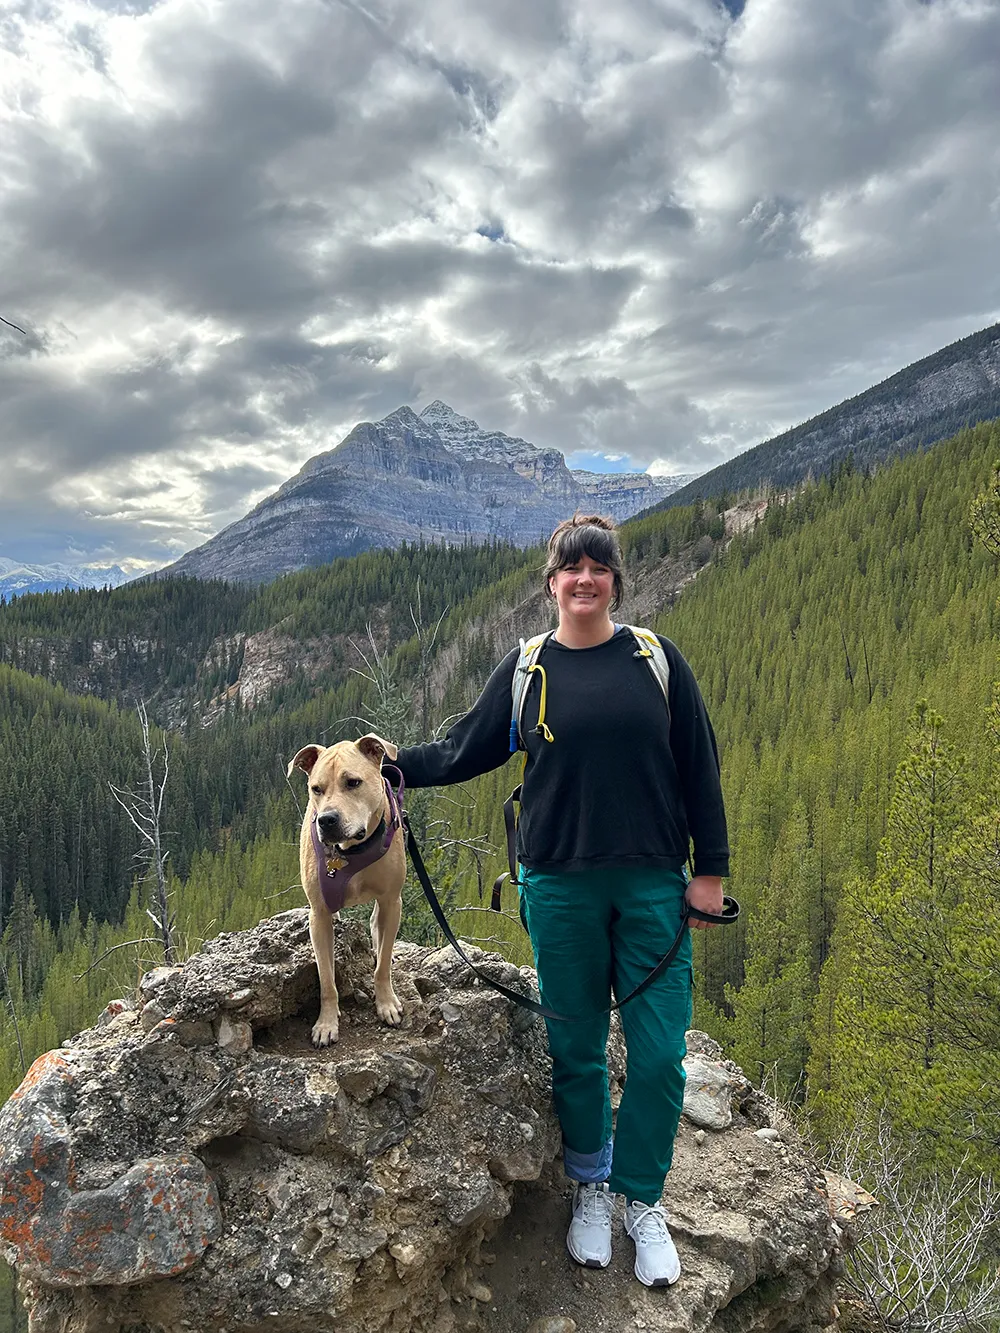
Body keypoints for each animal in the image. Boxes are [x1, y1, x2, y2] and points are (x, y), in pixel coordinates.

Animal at [285, 735, 402, 1045]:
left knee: (377, 928)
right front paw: (326, 1023)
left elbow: (382, 966)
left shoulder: (391, 901)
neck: (351, 851)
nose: (326, 819)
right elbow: (326, 978)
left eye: (353, 782)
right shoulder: (319, 915)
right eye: (316, 789)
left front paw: (386, 1003)